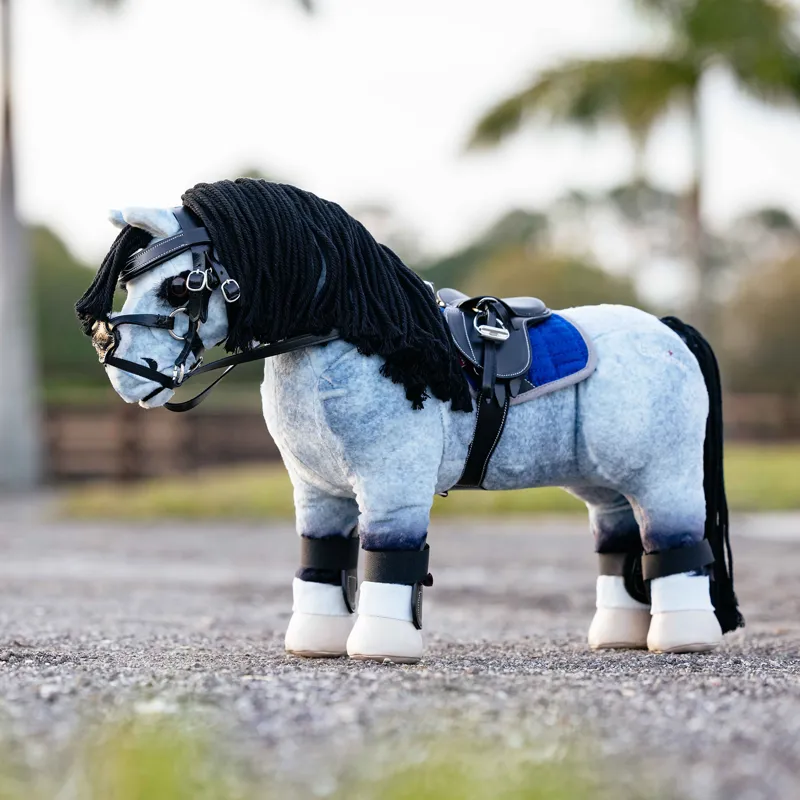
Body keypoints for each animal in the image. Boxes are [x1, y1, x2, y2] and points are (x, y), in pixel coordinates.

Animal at [76, 179, 742, 664]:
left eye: (179, 285)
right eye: (130, 281)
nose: (122, 368)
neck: (356, 337)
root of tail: (668, 330)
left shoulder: (392, 486)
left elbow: (388, 559)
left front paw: (380, 648)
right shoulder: (317, 491)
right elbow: (322, 559)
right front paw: (316, 643)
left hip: (663, 475)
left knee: (674, 543)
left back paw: (682, 636)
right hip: (603, 483)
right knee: (619, 540)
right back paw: (618, 636)